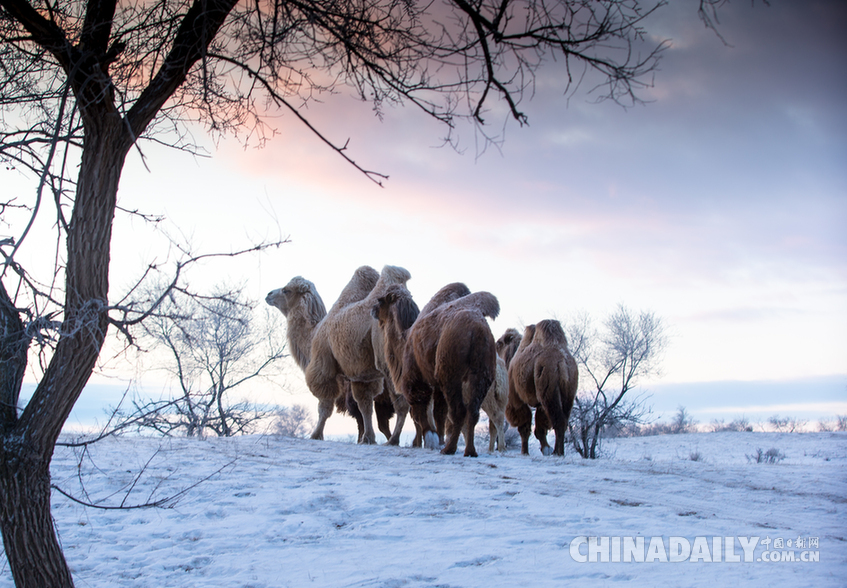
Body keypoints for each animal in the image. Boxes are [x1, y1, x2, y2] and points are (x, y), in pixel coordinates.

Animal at [306, 264, 412, 444]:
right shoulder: (362, 377)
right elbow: (365, 405)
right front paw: (368, 438)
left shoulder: (323, 360)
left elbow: (325, 403)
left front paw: (316, 434)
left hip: (390, 361)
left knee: (403, 402)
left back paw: (394, 440)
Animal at [506, 320, 580, 458]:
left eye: (500, 343)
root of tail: (561, 362)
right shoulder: (540, 403)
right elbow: (541, 425)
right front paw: (545, 448)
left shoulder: (516, 397)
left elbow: (524, 426)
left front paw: (525, 452)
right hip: (569, 390)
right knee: (563, 418)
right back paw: (557, 451)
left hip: (548, 388)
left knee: (557, 419)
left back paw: (558, 452)